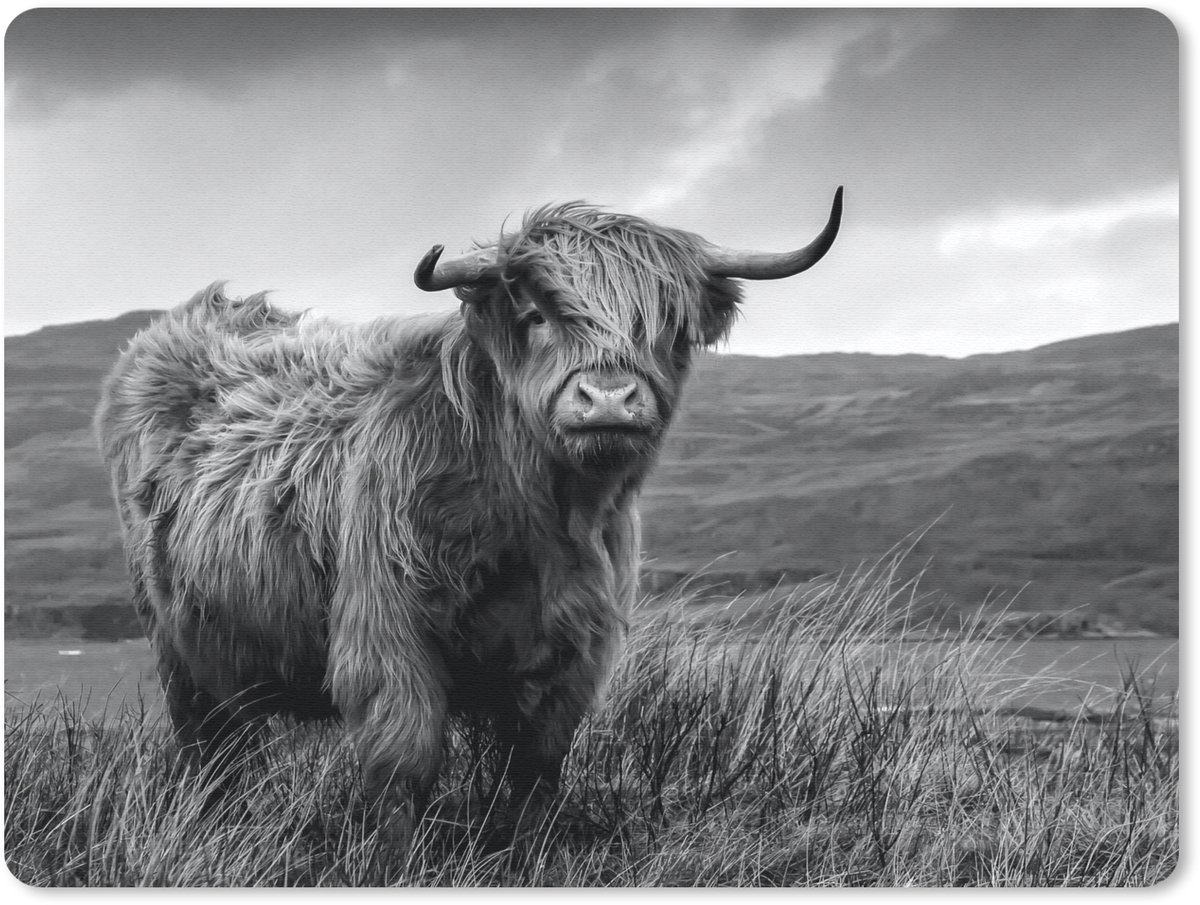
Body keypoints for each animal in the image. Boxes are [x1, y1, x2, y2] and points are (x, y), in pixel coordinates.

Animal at [95, 189, 842, 844]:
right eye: (538, 315)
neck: (538, 519)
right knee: (210, 751)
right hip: (179, 649)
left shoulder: (572, 654)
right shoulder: (387, 635)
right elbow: (403, 768)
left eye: (667, 325)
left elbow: (535, 775)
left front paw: (526, 855)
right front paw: (397, 862)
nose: (607, 399)